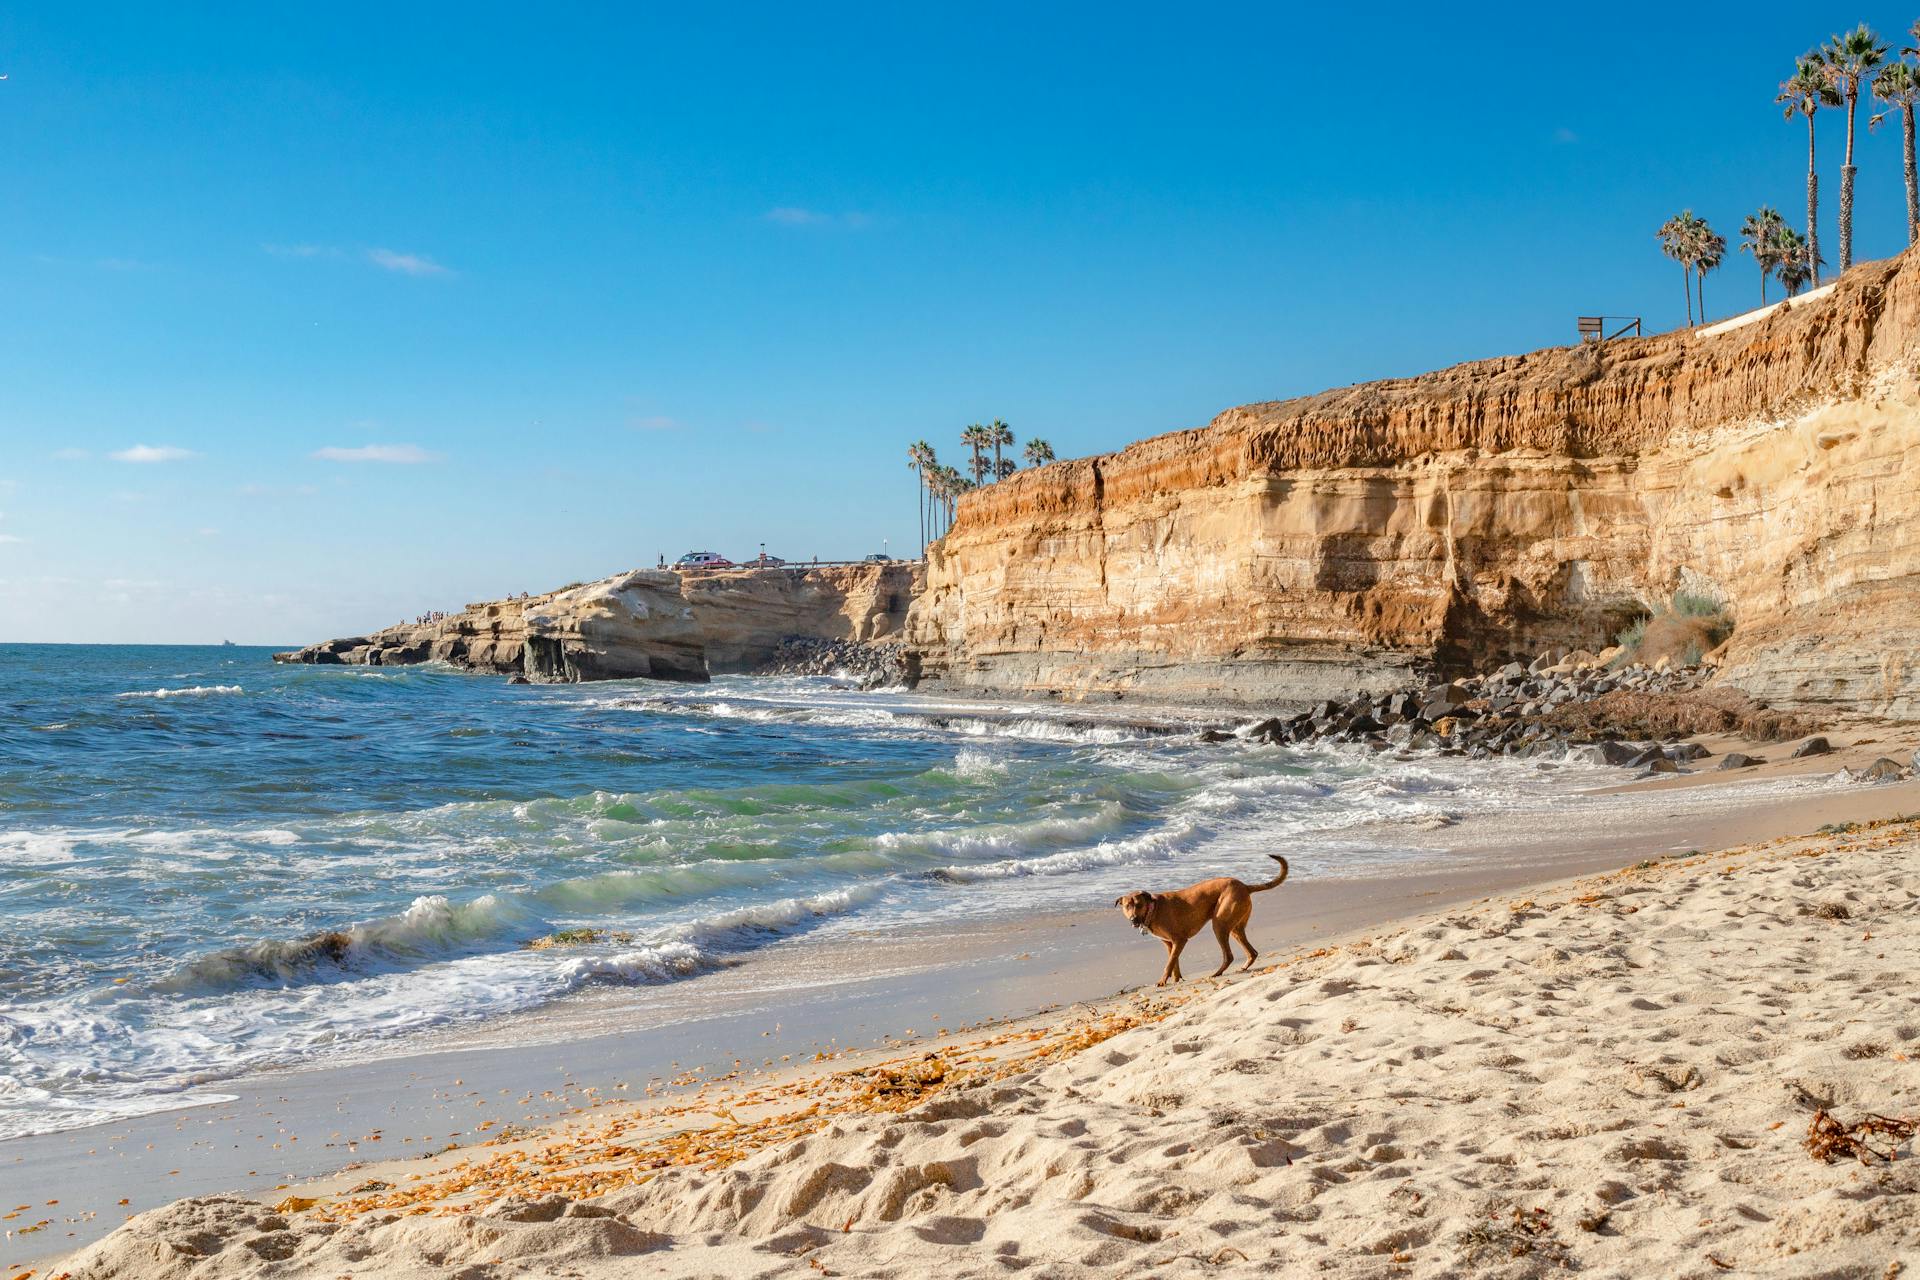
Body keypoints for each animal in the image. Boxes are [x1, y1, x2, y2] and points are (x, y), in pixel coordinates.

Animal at [1113, 859, 1290, 990]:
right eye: (1127, 906)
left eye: (1138, 905)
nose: (1133, 920)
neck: (1153, 909)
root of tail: (1244, 886)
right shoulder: (1169, 943)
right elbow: (1174, 962)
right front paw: (1177, 979)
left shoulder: (1179, 940)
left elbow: (1169, 963)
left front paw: (1162, 981)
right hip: (1235, 928)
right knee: (1251, 952)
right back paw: (1243, 967)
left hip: (1219, 925)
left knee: (1229, 955)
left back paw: (1217, 973)